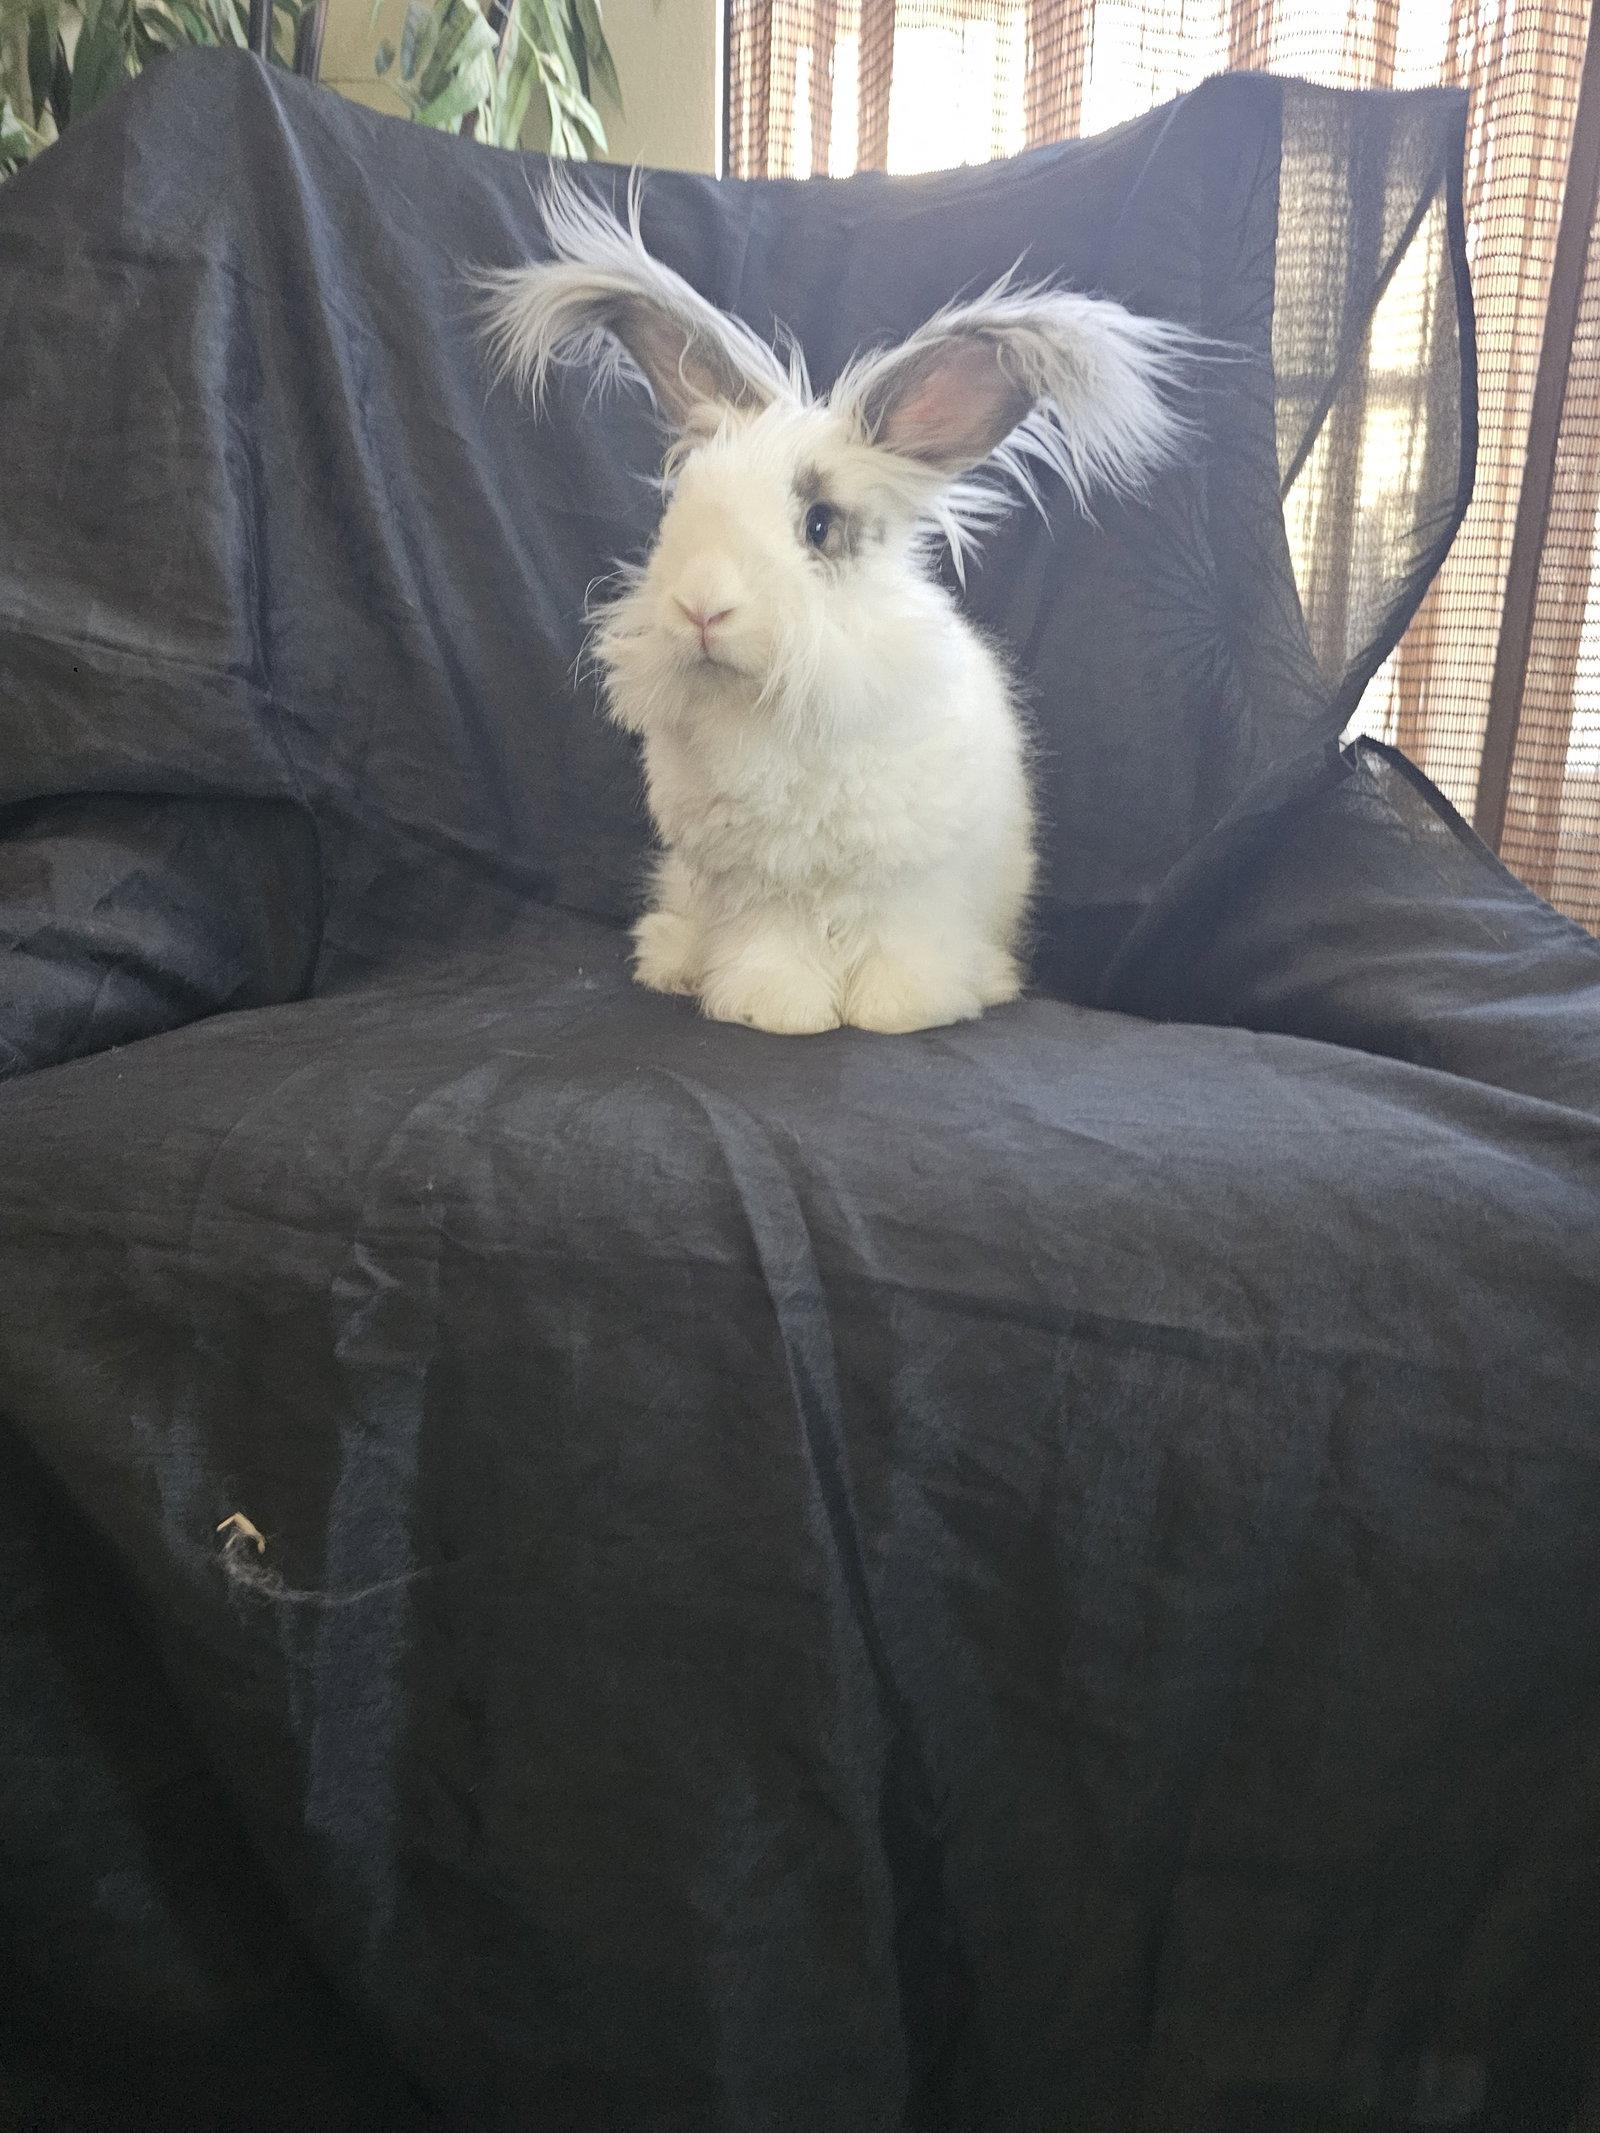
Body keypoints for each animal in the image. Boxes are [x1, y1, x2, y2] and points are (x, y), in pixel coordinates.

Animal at [479, 176, 1192, 1036]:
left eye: (818, 525)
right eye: (678, 510)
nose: (702, 609)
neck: (782, 710)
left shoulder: (911, 883)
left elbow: (899, 946)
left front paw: (900, 1009)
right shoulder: (758, 886)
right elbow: (772, 947)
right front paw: (772, 1008)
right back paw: (675, 965)